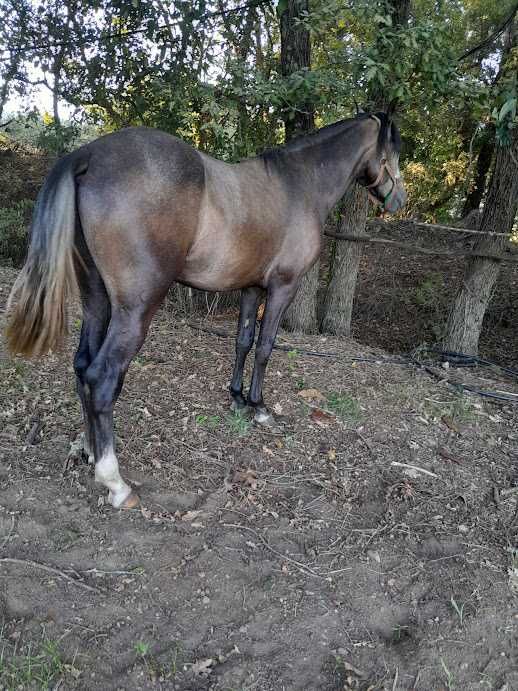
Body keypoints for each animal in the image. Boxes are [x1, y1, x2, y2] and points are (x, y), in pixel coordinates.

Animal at [6, 110, 406, 509]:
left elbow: (243, 342)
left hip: (97, 301)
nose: (399, 200)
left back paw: (90, 449)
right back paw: (115, 482)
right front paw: (260, 408)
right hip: (135, 310)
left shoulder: (251, 289)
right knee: (102, 378)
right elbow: (265, 347)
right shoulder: (282, 288)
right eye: (394, 150)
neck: (299, 185)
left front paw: (237, 399)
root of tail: (87, 155)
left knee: (82, 367)